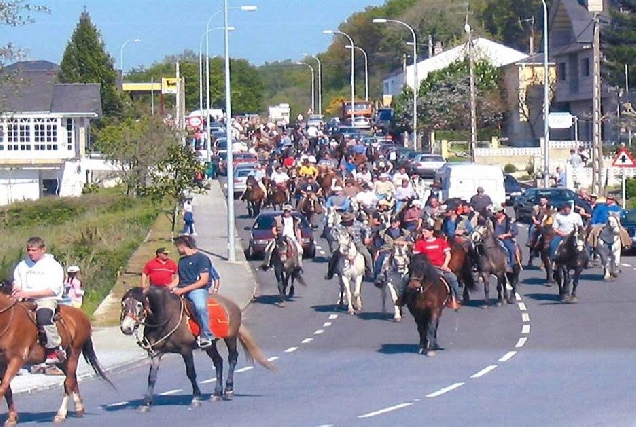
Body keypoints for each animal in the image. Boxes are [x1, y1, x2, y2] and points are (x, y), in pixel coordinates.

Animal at [0, 282, 113, 426]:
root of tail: (81, 314)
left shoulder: (16, 359)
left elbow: (3, 388)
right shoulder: (2, 363)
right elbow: (7, 389)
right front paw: (12, 418)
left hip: (74, 353)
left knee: (68, 383)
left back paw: (61, 414)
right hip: (63, 360)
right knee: (73, 379)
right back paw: (79, 408)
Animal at [120, 288, 274, 412]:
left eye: (139, 304)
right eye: (123, 304)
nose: (126, 328)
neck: (166, 318)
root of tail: (232, 304)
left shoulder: (185, 350)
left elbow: (191, 373)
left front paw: (196, 398)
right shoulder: (156, 353)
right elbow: (151, 377)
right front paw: (146, 403)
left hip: (230, 337)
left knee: (232, 358)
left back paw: (229, 390)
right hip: (210, 345)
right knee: (218, 361)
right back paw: (216, 393)